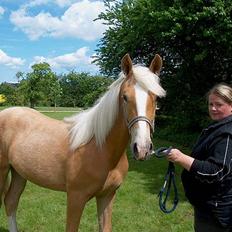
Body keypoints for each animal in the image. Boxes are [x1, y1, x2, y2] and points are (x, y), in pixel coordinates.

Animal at [0, 54, 166, 230]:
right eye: (125, 97)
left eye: (156, 98)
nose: (142, 148)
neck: (101, 149)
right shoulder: (76, 198)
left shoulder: (107, 196)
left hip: (19, 173)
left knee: (11, 202)